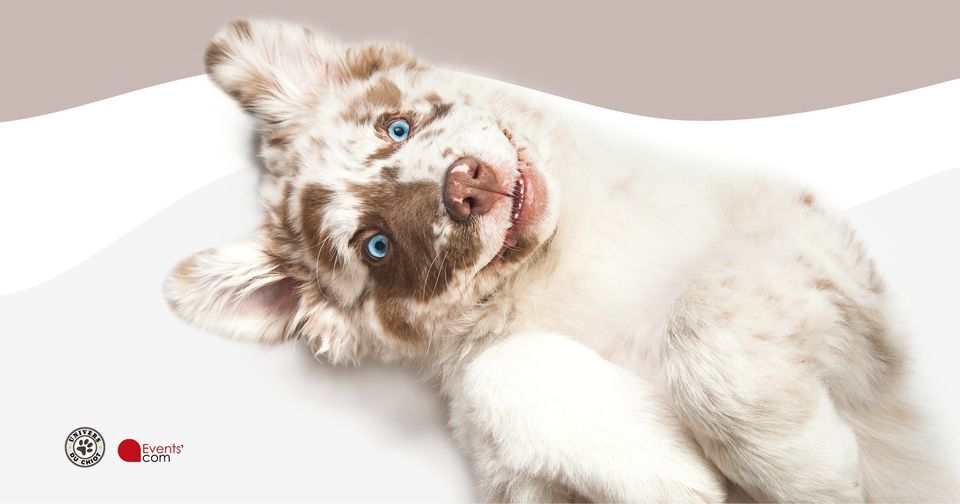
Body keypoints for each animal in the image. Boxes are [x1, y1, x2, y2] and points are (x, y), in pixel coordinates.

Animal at [164, 20, 956, 502]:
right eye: (375, 243)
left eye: (399, 126)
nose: (467, 185)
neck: (557, 263)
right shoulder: (515, 477)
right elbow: (501, 371)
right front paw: (674, 470)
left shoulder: (809, 243)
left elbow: (702, 321)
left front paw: (808, 474)